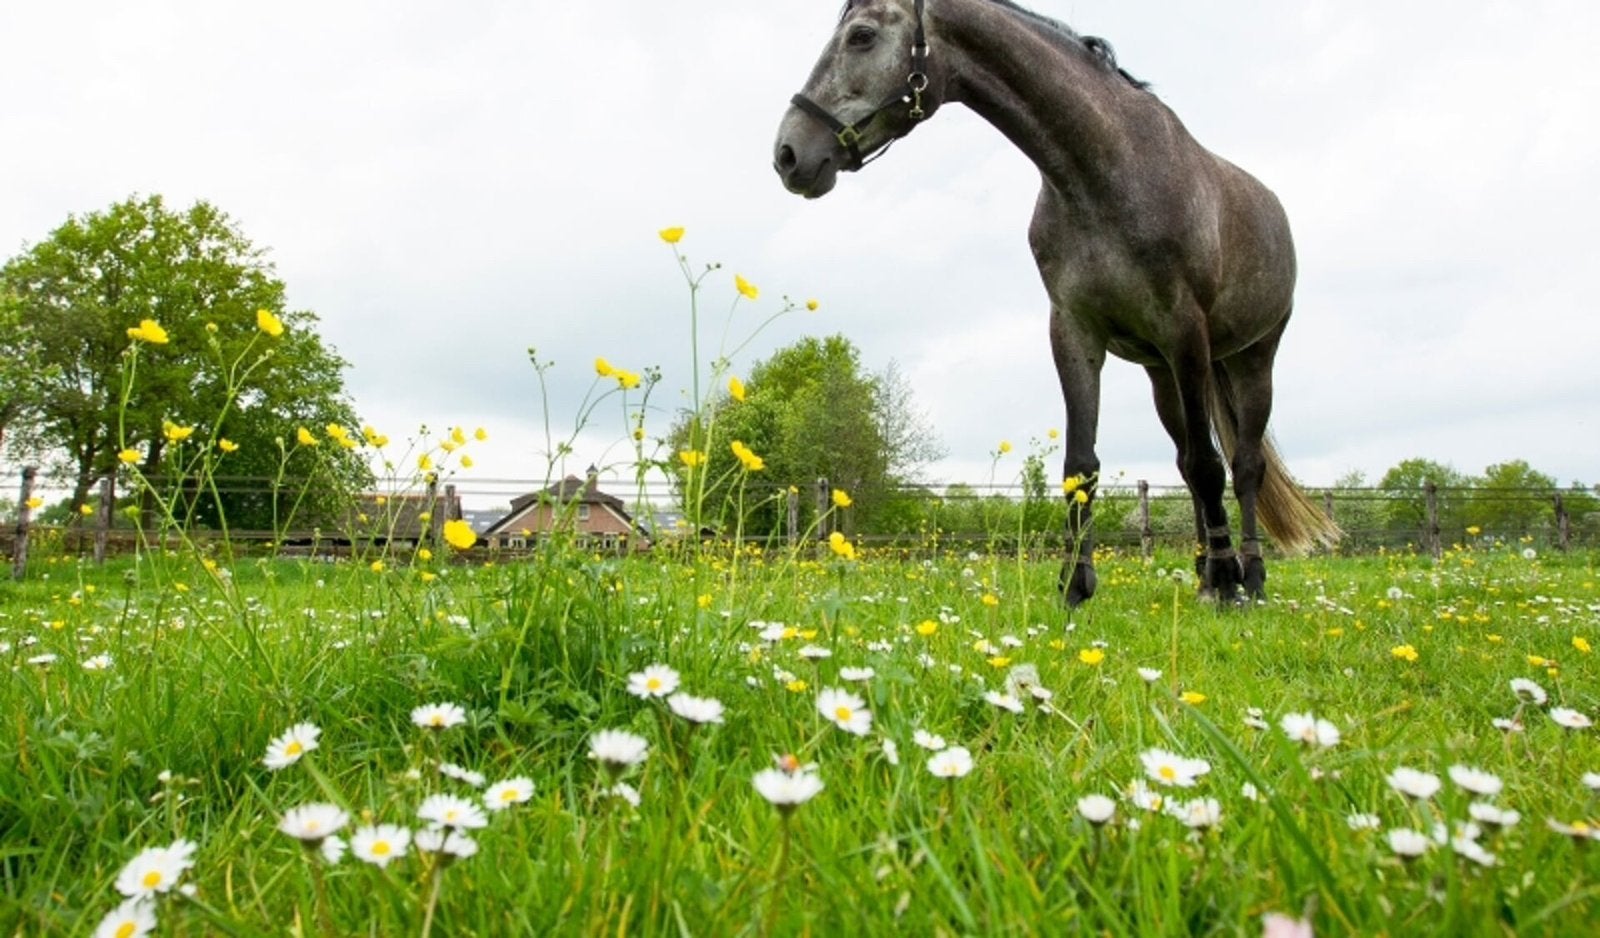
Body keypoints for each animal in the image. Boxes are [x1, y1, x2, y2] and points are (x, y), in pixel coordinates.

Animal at [773, 0, 1339, 606]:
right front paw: (1076, 585)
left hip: (1251, 358)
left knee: (1243, 465)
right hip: (1162, 374)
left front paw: (1230, 581)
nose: (788, 153)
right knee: (1187, 462)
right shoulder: (1075, 331)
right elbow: (1083, 463)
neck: (1104, 172)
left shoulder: (1186, 332)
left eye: (861, 36)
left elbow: (1214, 467)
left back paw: (1246, 575)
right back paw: (1204, 570)